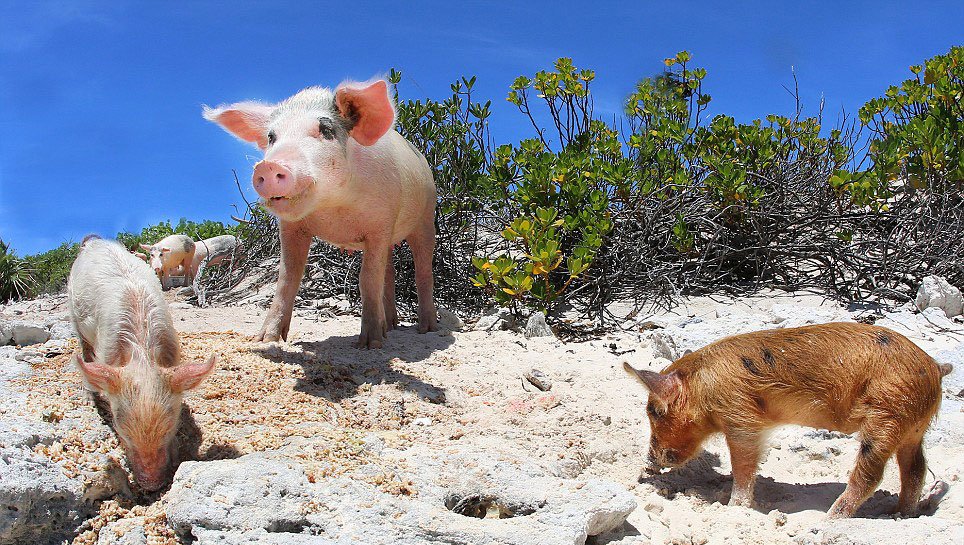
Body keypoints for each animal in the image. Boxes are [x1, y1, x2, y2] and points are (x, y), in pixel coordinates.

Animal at [68, 236, 216, 490]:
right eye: (121, 427)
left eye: (170, 426)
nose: (151, 485)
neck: (142, 356)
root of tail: (95, 241)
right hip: (75, 316)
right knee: (85, 353)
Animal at [203, 79, 438, 348]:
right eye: (271, 137)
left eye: (326, 129)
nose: (268, 166)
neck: (334, 207)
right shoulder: (291, 227)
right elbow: (287, 278)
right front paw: (265, 340)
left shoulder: (381, 222)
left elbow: (367, 279)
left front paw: (368, 345)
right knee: (389, 272)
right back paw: (389, 327)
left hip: (426, 217)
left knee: (422, 269)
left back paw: (426, 329)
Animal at [623, 322, 951, 518]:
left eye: (655, 411)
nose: (649, 460)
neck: (704, 387)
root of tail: (934, 366)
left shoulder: (740, 413)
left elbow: (744, 463)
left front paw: (733, 507)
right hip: (913, 426)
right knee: (916, 468)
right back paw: (900, 515)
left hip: (887, 414)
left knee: (872, 473)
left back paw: (830, 518)